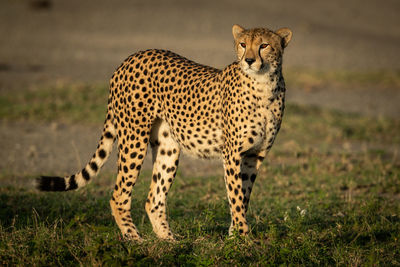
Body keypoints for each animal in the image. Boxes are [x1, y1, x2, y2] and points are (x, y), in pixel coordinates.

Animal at [38, 25, 290, 242]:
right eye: (242, 44)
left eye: (264, 45)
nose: (249, 60)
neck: (264, 85)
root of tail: (130, 58)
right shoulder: (232, 154)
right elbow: (236, 196)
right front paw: (244, 238)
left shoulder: (254, 155)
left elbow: (243, 196)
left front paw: (234, 235)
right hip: (134, 138)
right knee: (118, 195)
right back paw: (134, 238)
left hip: (168, 147)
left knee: (153, 199)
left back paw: (169, 240)